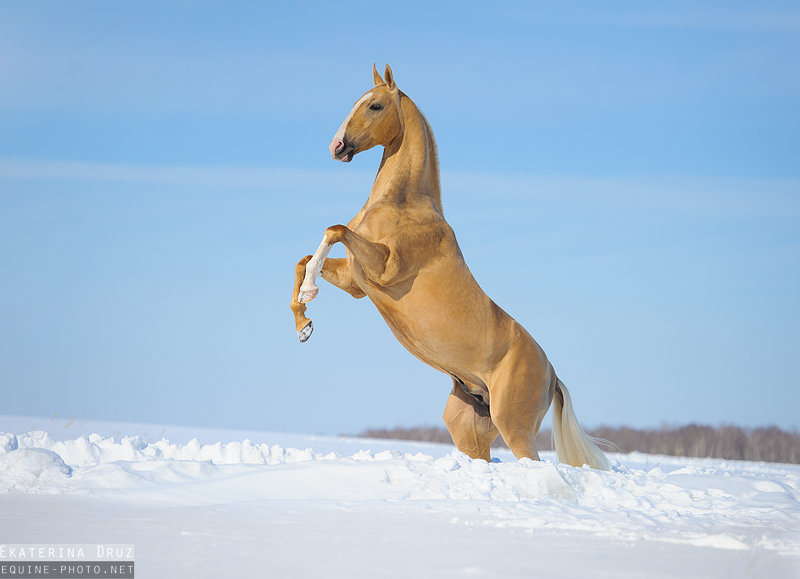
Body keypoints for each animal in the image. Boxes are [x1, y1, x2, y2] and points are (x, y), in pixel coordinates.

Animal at [290, 64, 608, 472]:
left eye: (375, 105)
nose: (337, 147)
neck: (404, 204)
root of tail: (552, 375)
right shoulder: (357, 282)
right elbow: (303, 260)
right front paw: (304, 325)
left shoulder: (384, 269)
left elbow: (334, 230)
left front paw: (309, 294)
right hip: (468, 426)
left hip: (515, 428)